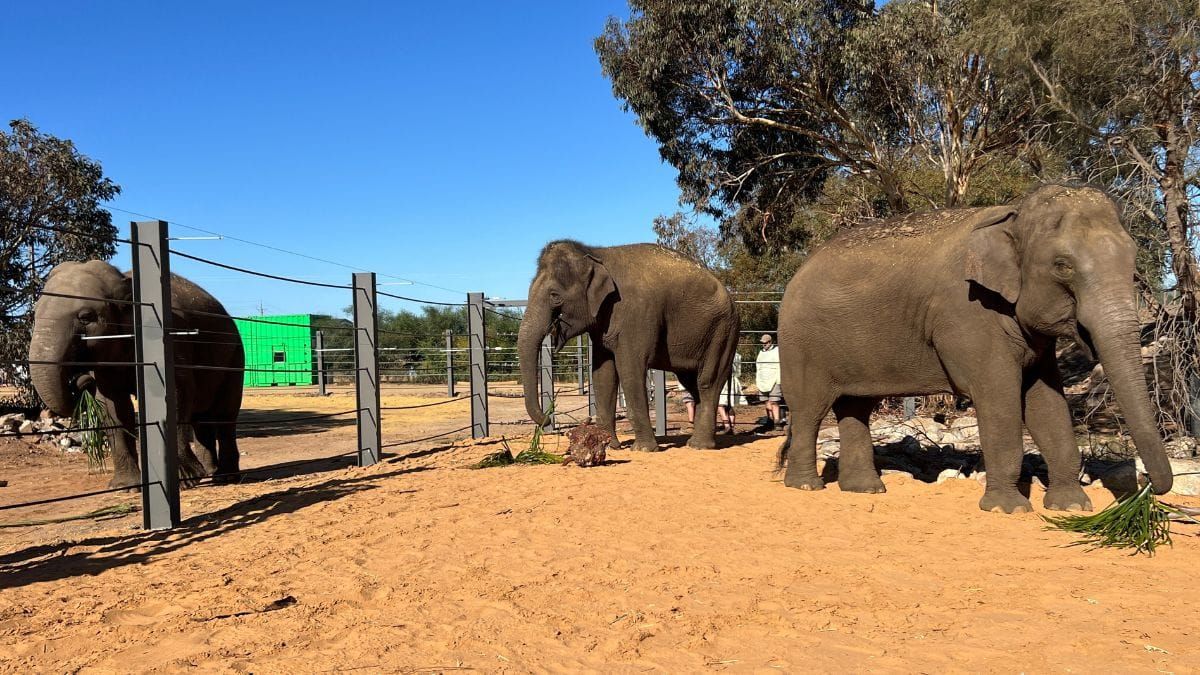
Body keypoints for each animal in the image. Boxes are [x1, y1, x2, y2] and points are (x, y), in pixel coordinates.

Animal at [29, 260, 244, 488]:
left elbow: (177, 393)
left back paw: (225, 476)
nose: (82, 378)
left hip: (235, 357)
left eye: (86, 317)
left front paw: (183, 481)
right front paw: (126, 487)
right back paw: (211, 472)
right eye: (33, 314)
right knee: (201, 418)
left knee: (225, 414)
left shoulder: (168, 335)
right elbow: (112, 405)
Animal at [519, 240, 740, 451]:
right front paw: (609, 445)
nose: (548, 418)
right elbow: (603, 374)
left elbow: (630, 369)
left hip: (722, 331)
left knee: (707, 381)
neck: (596, 254)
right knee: (692, 383)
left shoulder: (636, 314)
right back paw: (696, 441)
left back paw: (699, 446)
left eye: (555, 296)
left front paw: (643, 449)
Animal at [776, 184, 1174, 513]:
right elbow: (998, 397)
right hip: (799, 342)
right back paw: (807, 486)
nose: (1149, 488)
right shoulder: (968, 313)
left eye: (1133, 257)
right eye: (1063, 266)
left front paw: (1072, 507)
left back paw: (866, 489)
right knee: (809, 409)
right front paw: (1006, 509)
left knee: (855, 407)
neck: (1013, 214)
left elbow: (1047, 403)